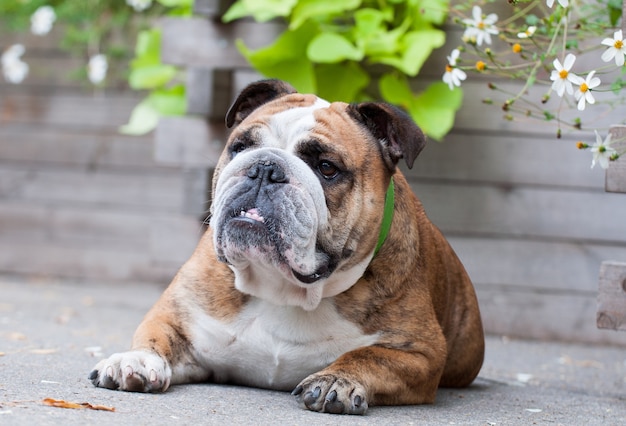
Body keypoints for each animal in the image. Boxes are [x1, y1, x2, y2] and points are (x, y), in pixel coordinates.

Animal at [88, 79, 486, 412]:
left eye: (327, 167)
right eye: (240, 147)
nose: (265, 168)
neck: (283, 288)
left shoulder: (420, 353)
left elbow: (368, 356)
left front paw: (337, 380)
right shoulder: (179, 319)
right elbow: (156, 336)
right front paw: (135, 360)